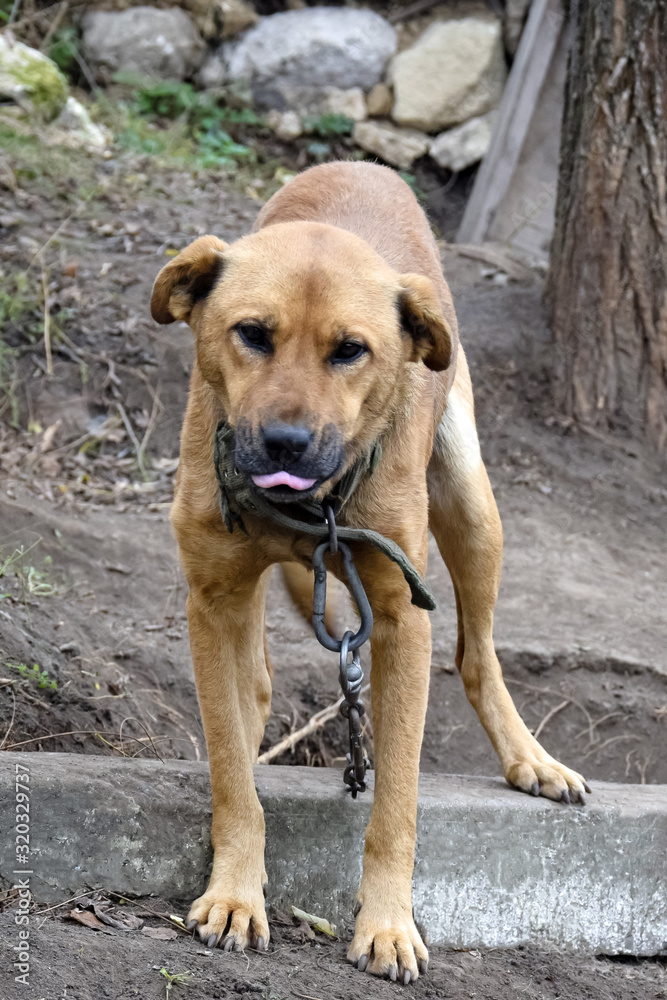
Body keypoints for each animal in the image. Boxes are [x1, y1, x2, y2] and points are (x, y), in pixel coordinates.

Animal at [151, 162, 588, 984]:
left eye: (350, 350)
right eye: (252, 334)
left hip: (473, 511)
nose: (285, 443)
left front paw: (388, 924)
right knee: (254, 692)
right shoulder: (213, 598)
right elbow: (231, 771)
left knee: (476, 655)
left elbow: (398, 803)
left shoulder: (398, 618)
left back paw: (529, 759)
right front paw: (236, 891)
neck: (310, 511)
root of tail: (362, 165)